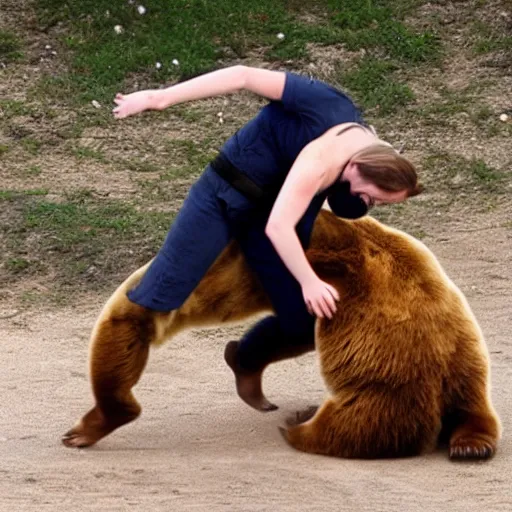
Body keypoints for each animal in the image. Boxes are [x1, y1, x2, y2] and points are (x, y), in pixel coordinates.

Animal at [62, 209, 502, 460]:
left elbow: (135, 316)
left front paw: (93, 423)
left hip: (384, 387)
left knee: (356, 426)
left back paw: (298, 423)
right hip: (464, 365)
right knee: (475, 408)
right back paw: (472, 444)